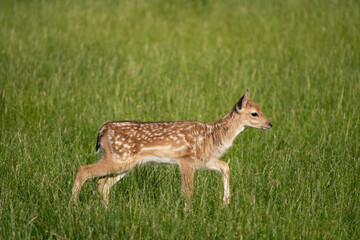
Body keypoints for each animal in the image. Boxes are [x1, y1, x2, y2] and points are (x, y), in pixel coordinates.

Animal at [71, 89, 272, 209]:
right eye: (254, 113)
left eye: (261, 109)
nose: (269, 124)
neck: (212, 136)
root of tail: (102, 131)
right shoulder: (185, 160)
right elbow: (188, 190)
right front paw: (188, 214)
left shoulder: (204, 161)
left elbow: (225, 166)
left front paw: (226, 202)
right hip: (118, 159)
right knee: (84, 170)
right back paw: (72, 207)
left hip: (124, 163)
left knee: (102, 184)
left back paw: (107, 210)